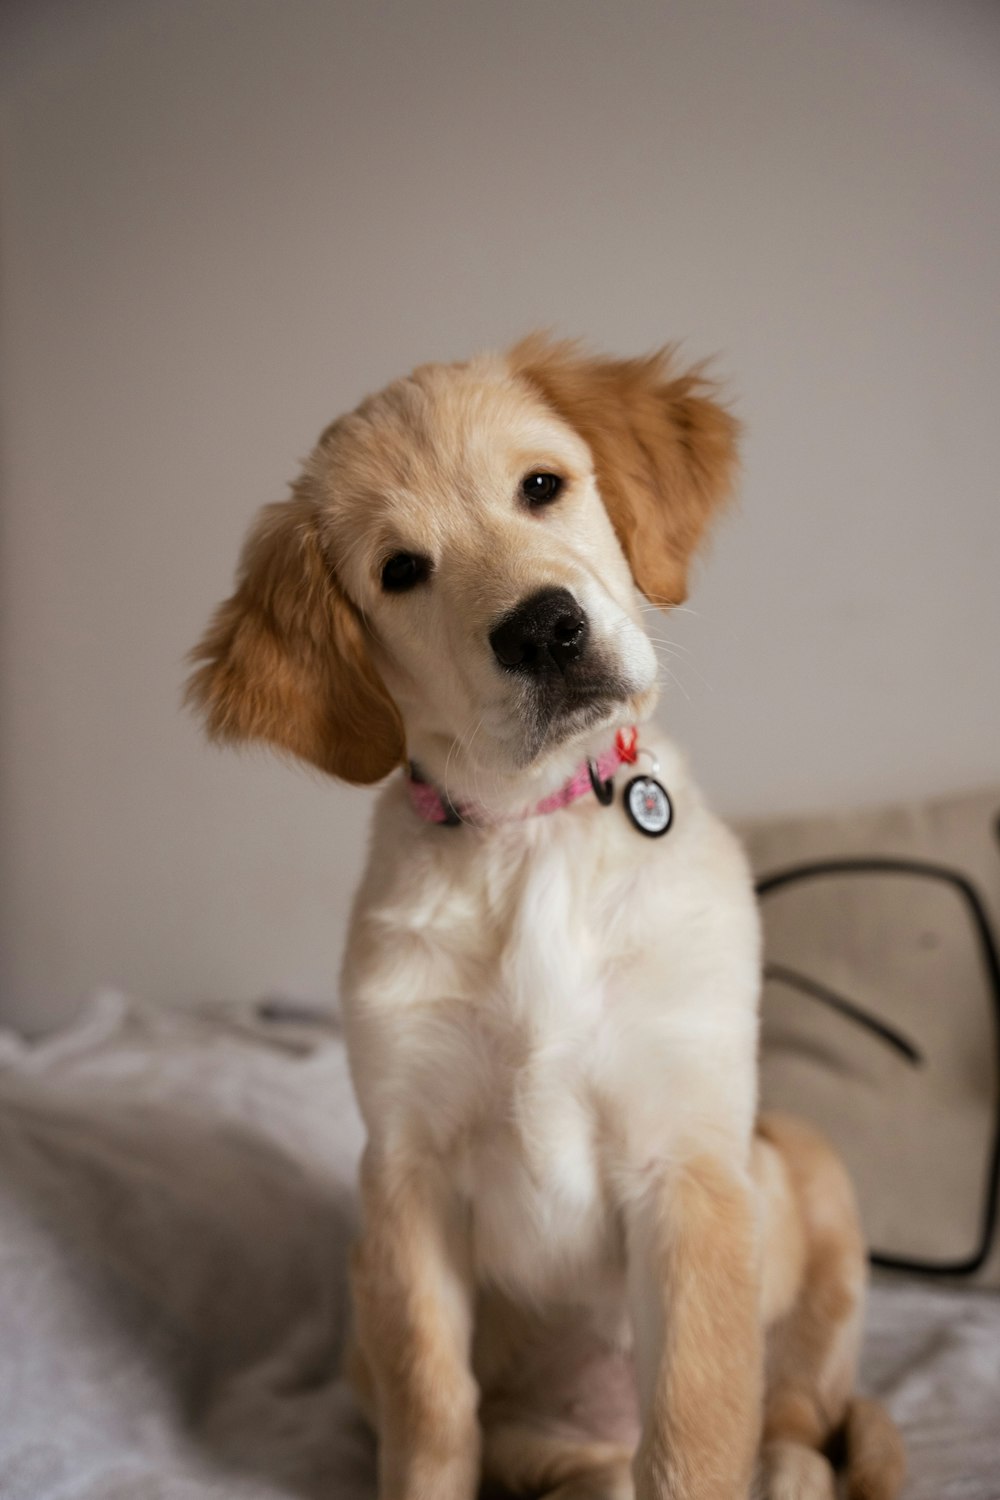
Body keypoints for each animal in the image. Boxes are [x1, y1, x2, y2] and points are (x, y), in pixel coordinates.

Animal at [189, 340, 905, 1500]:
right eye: (400, 570)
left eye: (541, 485)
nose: (543, 630)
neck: (536, 837)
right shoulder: (404, 1178)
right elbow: (433, 1420)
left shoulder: (687, 1158)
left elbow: (697, 1427)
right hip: (375, 1316)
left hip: (801, 1159)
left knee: (796, 1413)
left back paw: (794, 1472)